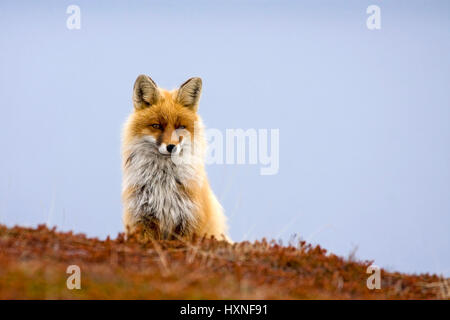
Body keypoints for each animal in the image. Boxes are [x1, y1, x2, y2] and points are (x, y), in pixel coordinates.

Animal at [121, 75, 230, 242]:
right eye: (156, 126)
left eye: (181, 127)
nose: (171, 147)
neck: (163, 184)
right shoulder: (143, 218)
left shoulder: (189, 220)